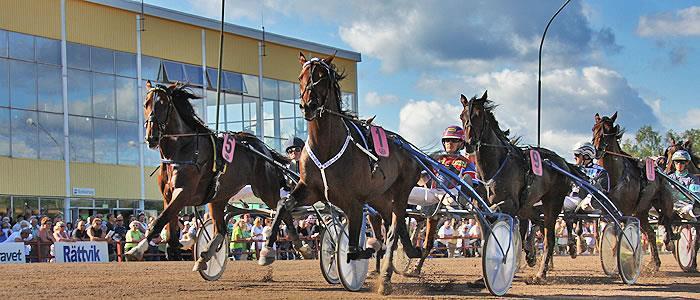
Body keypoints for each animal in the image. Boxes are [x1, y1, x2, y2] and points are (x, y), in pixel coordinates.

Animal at [127, 82, 302, 270]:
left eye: (163, 104)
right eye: (146, 104)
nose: (151, 137)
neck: (181, 150)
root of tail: (263, 150)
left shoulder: (183, 193)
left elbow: (160, 220)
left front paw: (137, 249)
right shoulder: (168, 196)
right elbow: (170, 228)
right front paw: (176, 245)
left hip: (266, 190)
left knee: (283, 211)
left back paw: (299, 245)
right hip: (219, 197)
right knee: (221, 230)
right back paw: (205, 256)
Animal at [290, 52, 422, 294]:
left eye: (322, 77)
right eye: (301, 77)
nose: (308, 106)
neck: (327, 147)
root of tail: (407, 147)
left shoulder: (353, 201)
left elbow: (353, 248)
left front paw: (364, 253)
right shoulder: (310, 189)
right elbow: (282, 206)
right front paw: (282, 249)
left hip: (402, 190)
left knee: (394, 228)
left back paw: (386, 278)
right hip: (380, 198)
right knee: (392, 223)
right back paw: (407, 254)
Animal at [460, 92, 576, 284]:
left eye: (479, 115)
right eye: (462, 116)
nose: (469, 143)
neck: (494, 167)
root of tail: (562, 163)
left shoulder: (509, 205)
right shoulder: (484, 207)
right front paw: (483, 276)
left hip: (552, 202)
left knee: (549, 237)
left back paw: (541, 273)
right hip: (527, 207)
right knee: (539, 224)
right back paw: (534, 255)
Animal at [592, 113, 680, 272]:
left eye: (608, 130)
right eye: (594, 128)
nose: (597, 149)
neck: (614, 178)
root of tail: (661, 173)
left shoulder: (625, 212)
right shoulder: (606, 212)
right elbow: (610, 233)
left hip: (664, 203)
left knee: (667, 221)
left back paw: (668, 243)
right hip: (641, 212)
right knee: (651, 233)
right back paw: (654, 263)